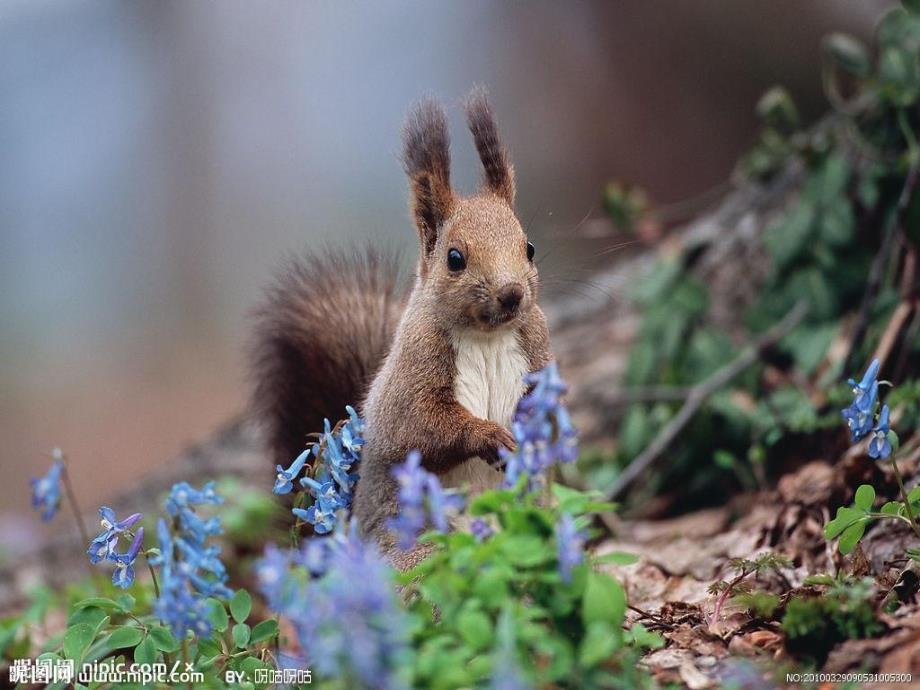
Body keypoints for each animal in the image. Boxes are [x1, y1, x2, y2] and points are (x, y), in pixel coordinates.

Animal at [248, 88, 548, 560]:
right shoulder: (413, 373)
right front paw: (489, 436)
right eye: (455, 258)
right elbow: (421, 428)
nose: (512, 293)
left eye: (529, 248)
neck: (486, 335)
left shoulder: (537, 349)